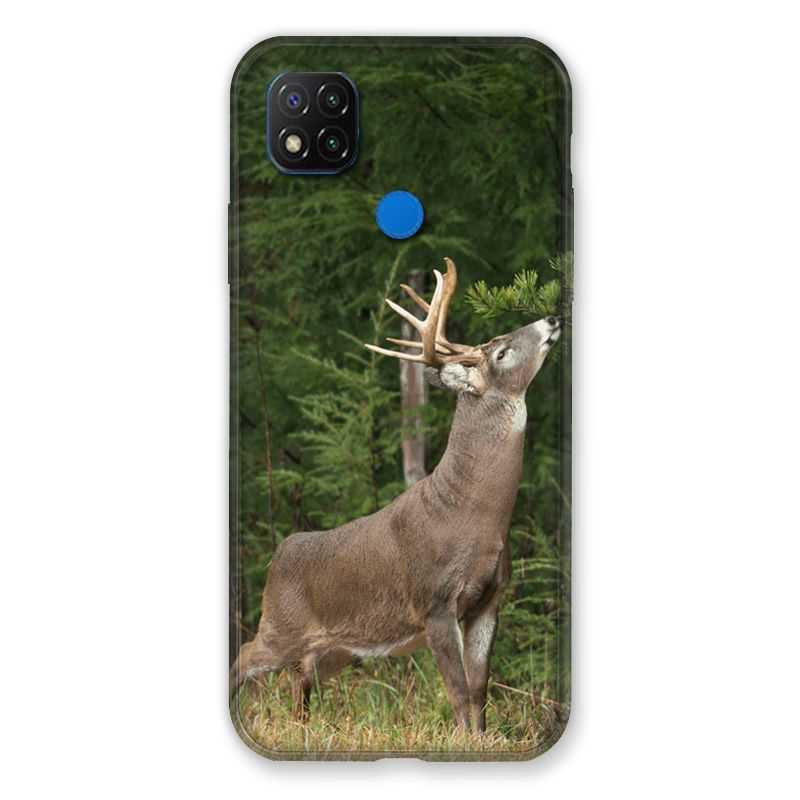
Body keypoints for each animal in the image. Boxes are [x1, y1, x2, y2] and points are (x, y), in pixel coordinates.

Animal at [232, 257, 561, 732]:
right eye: (501, 352)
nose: (552, 318)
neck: (474, 515)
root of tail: (278, 556)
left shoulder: (490, 600)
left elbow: (480, 691)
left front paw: (482, 740)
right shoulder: (435, 602)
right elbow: (458, 691)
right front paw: (463, 741)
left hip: (332, 650)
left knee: (299, 684)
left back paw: (303, 728)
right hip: (280, 624)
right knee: (244, 656)